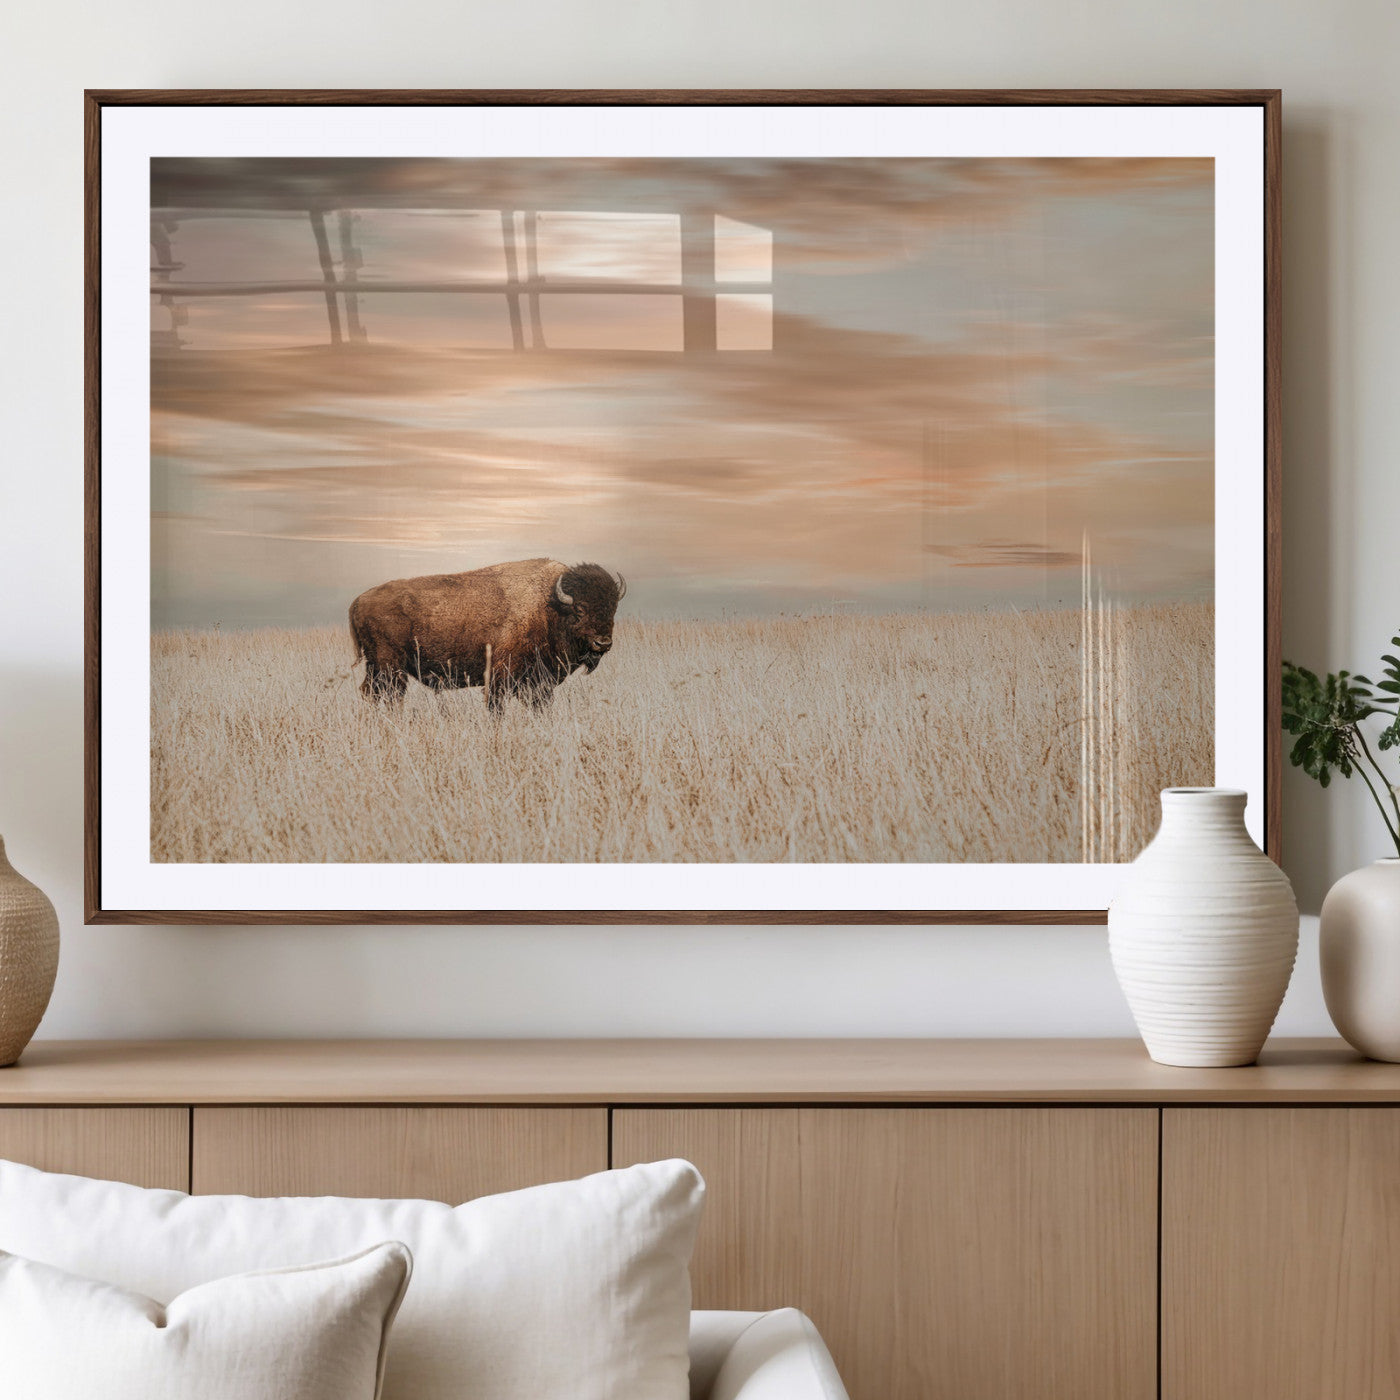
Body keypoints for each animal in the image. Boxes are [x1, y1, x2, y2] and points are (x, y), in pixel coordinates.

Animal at [349, 557, 626, 711]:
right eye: (580, 609)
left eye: (613, 607)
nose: (603, 643)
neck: (549, 606)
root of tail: (358, 600)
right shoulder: (501, 675)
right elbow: (496, 706)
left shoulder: (539, 683)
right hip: (389, 667)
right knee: (391, 695)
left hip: (376, 667)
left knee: (371, 693)